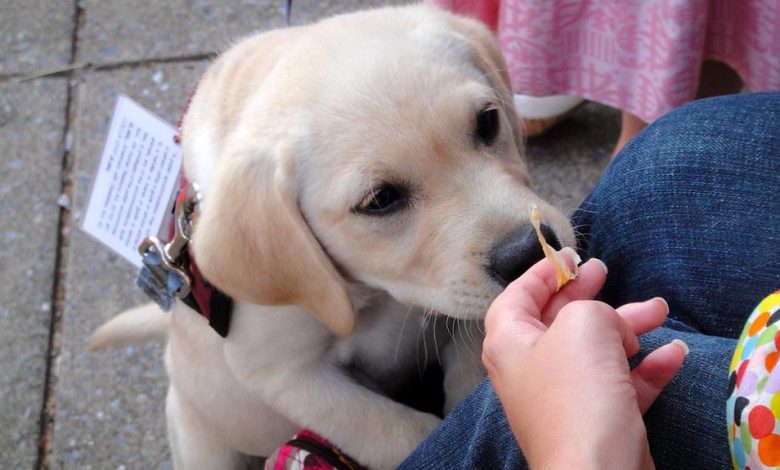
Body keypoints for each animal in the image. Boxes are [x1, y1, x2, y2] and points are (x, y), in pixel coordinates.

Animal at [91, 4, 572, 470]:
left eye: (487, 122)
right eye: (379, 200)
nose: (527, 253)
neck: (380, 295)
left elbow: (471, 366)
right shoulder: (286, 374)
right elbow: (397, 433)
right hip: (205, 447)